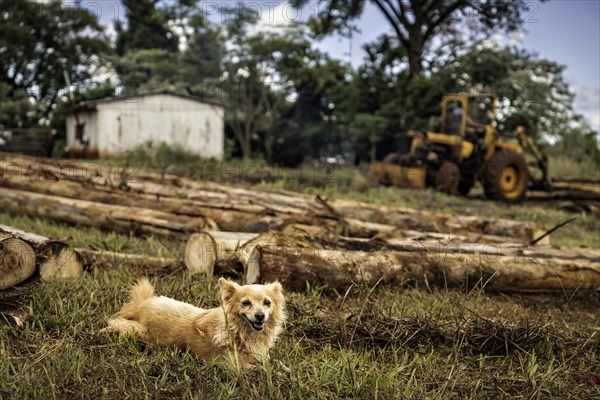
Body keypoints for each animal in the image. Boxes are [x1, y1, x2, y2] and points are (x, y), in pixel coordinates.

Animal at [102, 278, 288, 368]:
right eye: (246, 303)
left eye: (267, 302)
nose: (260, 316)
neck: (241, 333)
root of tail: (142, 304)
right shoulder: (235, 367)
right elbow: (266, 370)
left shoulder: (262, 357)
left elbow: (276, 364)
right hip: (136, 330)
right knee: (115, 323)